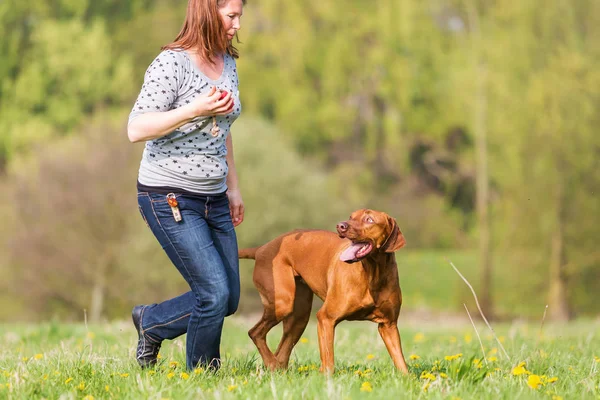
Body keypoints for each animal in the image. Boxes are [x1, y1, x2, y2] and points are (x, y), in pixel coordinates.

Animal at [239, 208, 408, 374]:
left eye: (369, 220)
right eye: (351, 216)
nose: (340, 226)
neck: (373, 274)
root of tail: (261, 248)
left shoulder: (388, 325)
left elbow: (401, 362)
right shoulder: (326, 318)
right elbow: (328, 361)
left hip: (299, 317)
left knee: (281, 352)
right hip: (282, 304)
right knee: (255, 333)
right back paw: (271, 364)